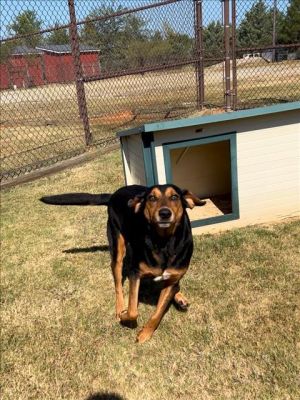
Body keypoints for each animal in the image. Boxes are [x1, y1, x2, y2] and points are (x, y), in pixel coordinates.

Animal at [39, 184, 205, 344]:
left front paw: (145, 334)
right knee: (118, 283)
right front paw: (125, 317)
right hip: (117, 246)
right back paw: (120, 307)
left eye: (174, 197)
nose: (164, 213)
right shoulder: (135, 273)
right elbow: (132, 311)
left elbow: (158, 312)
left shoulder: (171, 278)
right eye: (152, 198)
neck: (164, 242)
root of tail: (114, 193)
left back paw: (179, 297)